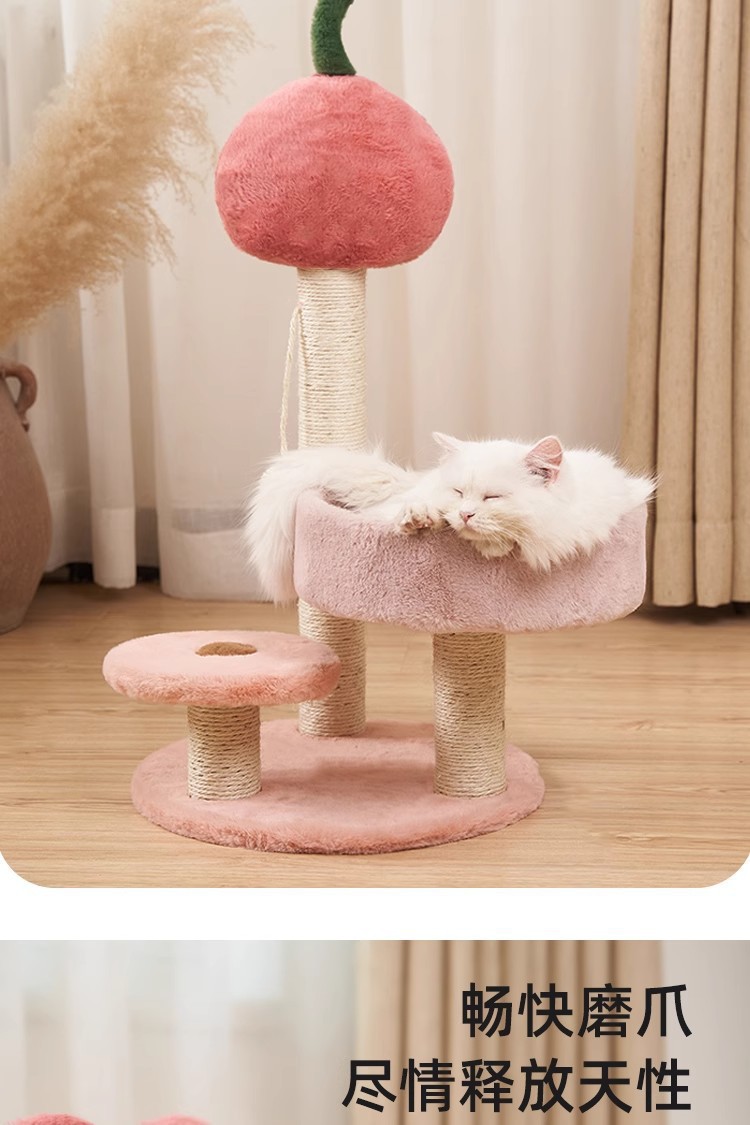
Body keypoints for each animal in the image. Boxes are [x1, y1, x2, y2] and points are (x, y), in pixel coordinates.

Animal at [245, 433, 654, 604]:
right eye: (459, 492)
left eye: (492, 497)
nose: (465, 513)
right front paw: (431, 521)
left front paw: (493, 541)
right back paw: (418, 517)